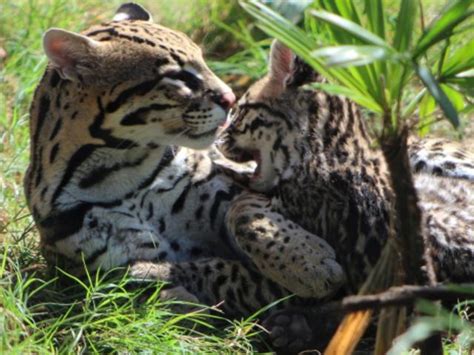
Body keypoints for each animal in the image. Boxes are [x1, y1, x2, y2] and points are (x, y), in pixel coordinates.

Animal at [25, 3, 344, 318]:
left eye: (204, 60)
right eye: (177, 76)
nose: (231, 98)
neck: (122, 174)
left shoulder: (235, 188)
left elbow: (244, 216)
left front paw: (309, 261)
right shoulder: (102, 267)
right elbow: (179, 286)